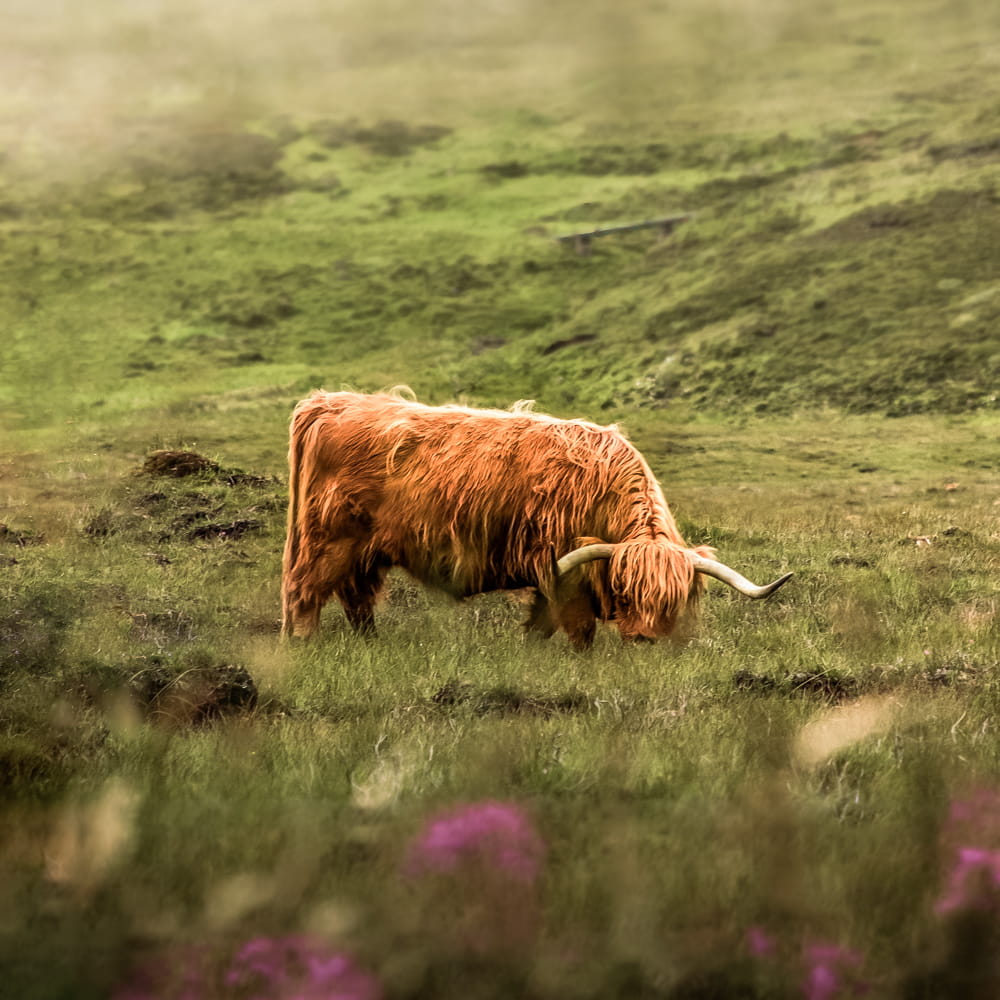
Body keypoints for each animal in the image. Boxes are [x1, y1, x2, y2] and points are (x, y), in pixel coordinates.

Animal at [280, 390, 791, 649]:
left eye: (671, 601)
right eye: (625, 592)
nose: (644, 640)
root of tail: (329, 401)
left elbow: (541, 624)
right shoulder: (566, 572)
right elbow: (579, 630)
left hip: (365, 551)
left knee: (357, 597)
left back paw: (371, 643)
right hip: (329, 539)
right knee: (304, 591)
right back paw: (304, 644)